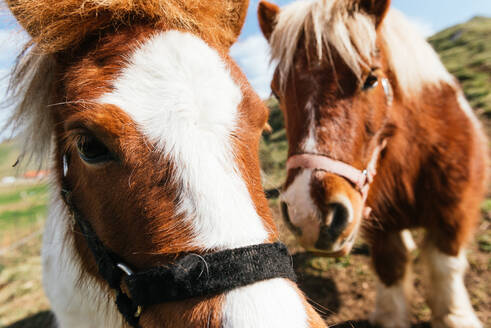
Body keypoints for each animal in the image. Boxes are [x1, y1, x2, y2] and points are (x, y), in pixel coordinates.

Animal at [258, 0, 488, 328]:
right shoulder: (381, 226)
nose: (308, 213)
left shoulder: (455, 211)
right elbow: (390, 266)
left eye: (370, 79)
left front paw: (455, 316)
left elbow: (447, 265)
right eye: (278, 92)